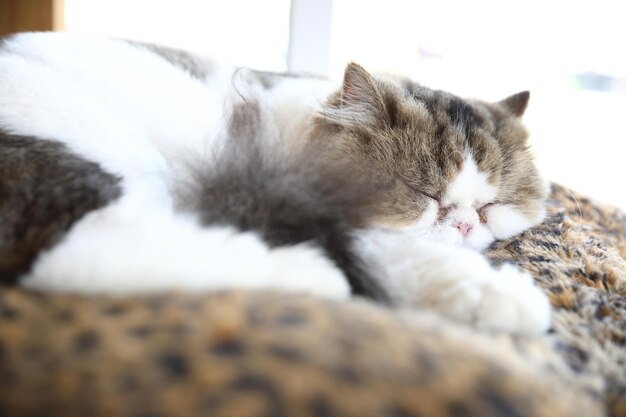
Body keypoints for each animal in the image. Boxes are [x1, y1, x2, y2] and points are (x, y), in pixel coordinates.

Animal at [0, 30, 544, 334]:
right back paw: (314, 275)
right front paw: (505, 295)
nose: (466, 225)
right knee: (84, 253)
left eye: (492, 207)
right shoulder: (333, 206)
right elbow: (420, 254)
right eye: (424, 195)